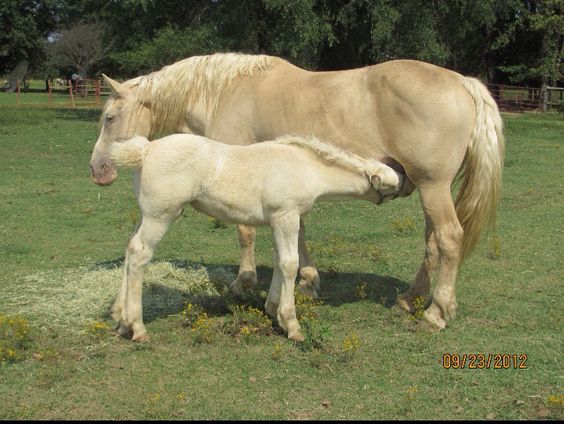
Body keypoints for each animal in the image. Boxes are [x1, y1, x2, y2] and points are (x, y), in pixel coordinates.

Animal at [109, 134, 400, 342]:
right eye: (392, 184)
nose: (403, 191)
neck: (306, 168)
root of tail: (146, 149)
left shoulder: (277, 221)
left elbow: (278, 260)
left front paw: (272, 308)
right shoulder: (286, 216)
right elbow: (290, 264)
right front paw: (291, 324)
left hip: (145, 214)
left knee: (129, 248)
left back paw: (122, 321)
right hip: (161, 215)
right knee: (140, 253)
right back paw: (137, 327)